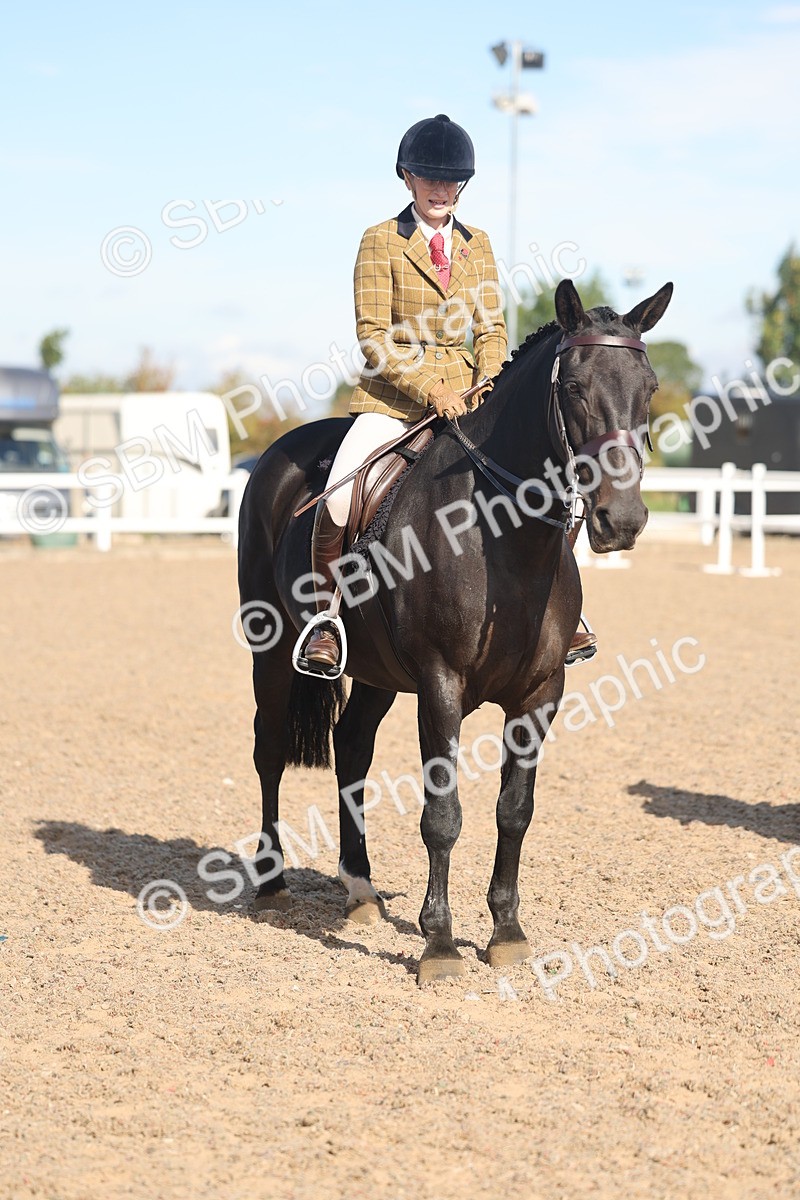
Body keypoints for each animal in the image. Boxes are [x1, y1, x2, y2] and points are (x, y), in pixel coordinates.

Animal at [237, 277, 673, 985]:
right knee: (270, 748)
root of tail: (279, 451)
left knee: (352, 747)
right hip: (269, 649)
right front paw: (439, 945)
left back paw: (359, 890)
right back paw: (272, 881)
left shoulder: (539, 696)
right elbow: (442, 815)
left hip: (378, 673)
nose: (622, 520)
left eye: (651, 387)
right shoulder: (441, 688)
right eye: (576, 387)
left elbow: (514, 811)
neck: (503, 540)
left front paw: (507, 933)